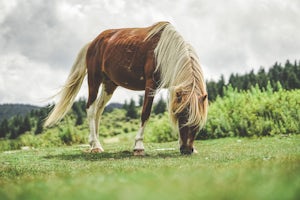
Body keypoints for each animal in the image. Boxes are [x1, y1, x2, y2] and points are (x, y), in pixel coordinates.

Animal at [44, 22, 207, 156]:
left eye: (197, 121)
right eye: (183, 116)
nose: (187, 150)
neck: (164, 51)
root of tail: (93, 43)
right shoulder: (150, 85)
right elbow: (145, 114)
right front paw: (138, 146)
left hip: (109, 85)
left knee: (98, 110)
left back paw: (96, 144)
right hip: (94, 80)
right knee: (90, 109)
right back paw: (95, 145)